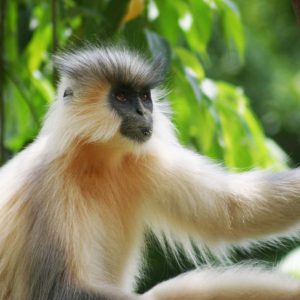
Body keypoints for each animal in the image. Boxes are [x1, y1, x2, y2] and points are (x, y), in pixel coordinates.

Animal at [1, 45, 300, 300]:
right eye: (121, 96)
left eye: (144, 96)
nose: (143, 111)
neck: (98, 162)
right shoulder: (47, 184)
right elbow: (58, 290)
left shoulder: (144, 161)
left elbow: (232, 212)